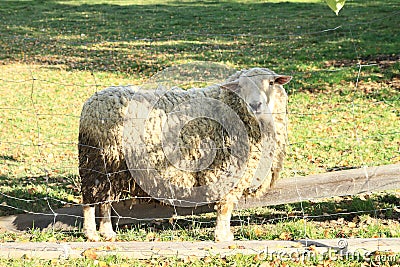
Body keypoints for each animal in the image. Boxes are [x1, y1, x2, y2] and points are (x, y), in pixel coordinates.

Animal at [78, 67, 290, 243]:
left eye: (271, 83)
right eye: (241, 86)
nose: (256, 105)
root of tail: (92, 101)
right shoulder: (225, 170)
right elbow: (225, 206)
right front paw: (222, 236)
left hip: (112, 166)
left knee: (105, 200)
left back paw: (107, 232)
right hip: (97, 161)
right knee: (90, 200)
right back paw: (92, 234)